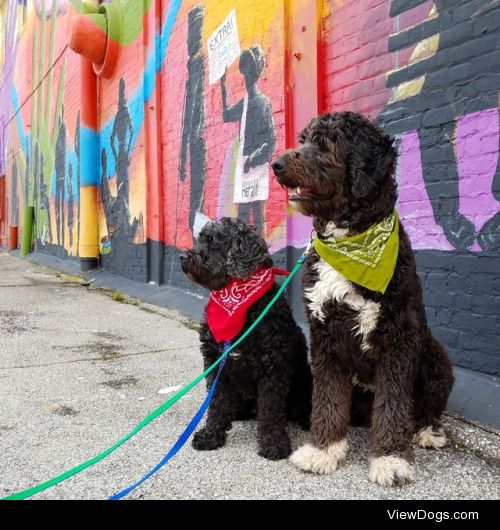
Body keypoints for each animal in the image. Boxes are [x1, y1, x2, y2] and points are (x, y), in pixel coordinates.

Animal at [180, 216, 312, 458]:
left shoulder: (272, 368)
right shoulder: (216, 364)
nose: (183, 257)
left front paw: (273, 443)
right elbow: (216, 403)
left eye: (214, 241)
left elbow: (270, 409)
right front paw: (211, 435)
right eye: (200, 239)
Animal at [272, 113, 456, 484]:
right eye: (304, 139)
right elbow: (328, 398)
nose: (276, 165)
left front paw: (390, 458)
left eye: (325, 145)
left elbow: (393, 404)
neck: (351, 242)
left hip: (435, 355)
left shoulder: (399, 338)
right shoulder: (324, 336)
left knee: (426, 407)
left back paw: (427, 430)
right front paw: (323, 449)